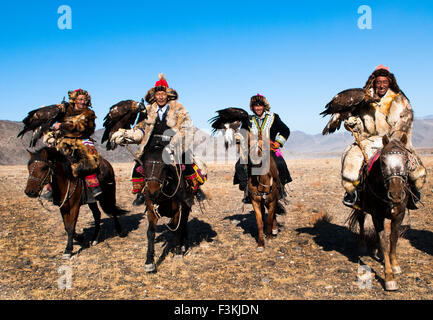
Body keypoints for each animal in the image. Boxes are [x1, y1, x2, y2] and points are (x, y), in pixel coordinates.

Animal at [348, 134, 412, 292]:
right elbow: (383, 241)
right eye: (383, 161)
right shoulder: (377, 215)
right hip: (361, 208)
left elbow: (393, 238)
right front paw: (389, 278)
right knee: (361, 221)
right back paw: (362, 245)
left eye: (406, 160)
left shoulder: (399, 215)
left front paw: (394, 265)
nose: (396, 195)